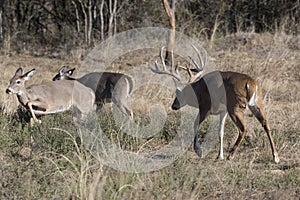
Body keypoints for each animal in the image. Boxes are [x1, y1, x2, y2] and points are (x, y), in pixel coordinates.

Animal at [151, 46, 280, 163]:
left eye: (178, 93)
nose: (174, 106)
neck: (198, 91)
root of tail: (251, 84)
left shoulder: (205, 106)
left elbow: (195, 124)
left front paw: (199, 151)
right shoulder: (223, 111)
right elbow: (220, 131)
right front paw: (219, 156)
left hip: (235, 106)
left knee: (244, 128)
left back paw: (231, 155)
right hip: (257, 104)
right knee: (265, 124)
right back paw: (276, 157)